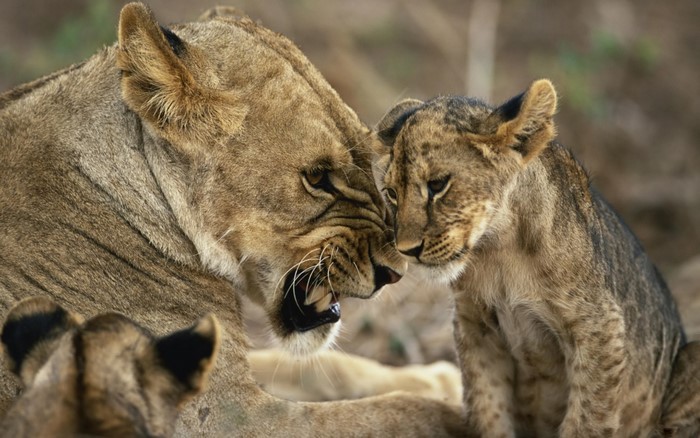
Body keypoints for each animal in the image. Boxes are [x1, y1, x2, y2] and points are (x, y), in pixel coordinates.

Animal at [375, 79, 700, 436]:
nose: (407, 249)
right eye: (392, 193)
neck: (499, 250)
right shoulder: (476, 326)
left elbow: (586, 420)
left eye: (437, 185)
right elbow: (488, 410)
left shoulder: (600, 327)